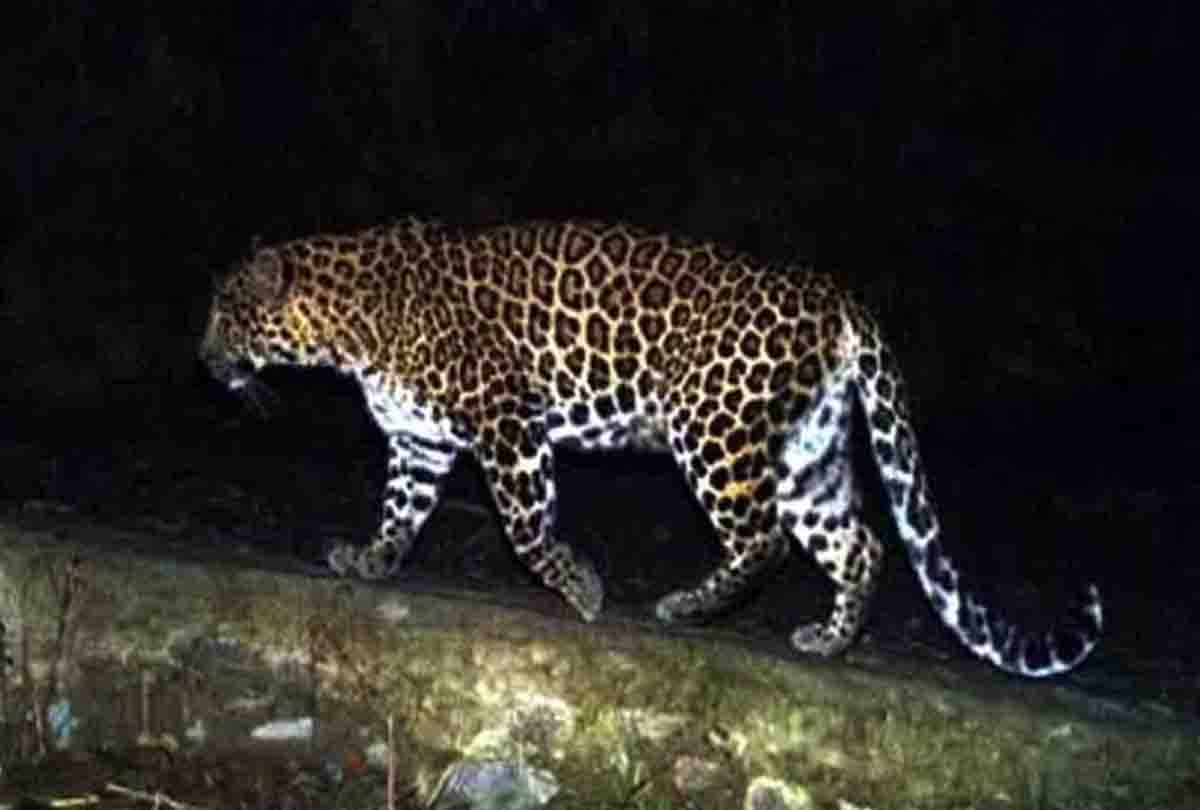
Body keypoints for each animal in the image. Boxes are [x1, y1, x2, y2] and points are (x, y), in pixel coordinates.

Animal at [200, 217, 1102, 677]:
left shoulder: (507, 419)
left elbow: (526, 526)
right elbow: (400, 512)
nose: (203, 360)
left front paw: (582, 588)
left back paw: (687, 606)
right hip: (807, 452)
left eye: (224, 314)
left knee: (765, 539)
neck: (349, 325)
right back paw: (830, 639)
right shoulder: (419, 442)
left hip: (713, 428)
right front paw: (372, 560)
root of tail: (832, 292)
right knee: (860, 543)